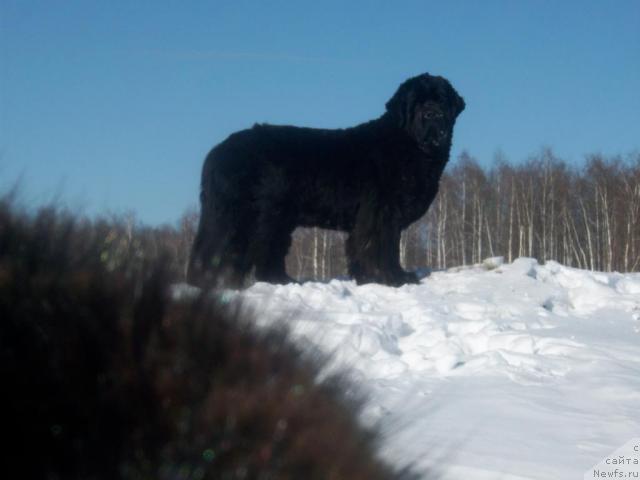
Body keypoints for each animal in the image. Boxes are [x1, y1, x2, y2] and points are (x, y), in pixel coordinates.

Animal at [188, 73, 462, 286]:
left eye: (442, 100)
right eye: (415, 103)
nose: (432, 114)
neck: (410, 146)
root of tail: (217, 152)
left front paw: (372, 278)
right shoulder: (380, 213)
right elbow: (383, 247)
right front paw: (393, 278)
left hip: (274, 217)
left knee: (265, 250)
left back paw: (282, 281)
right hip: (242, 214)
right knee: (222, 247)